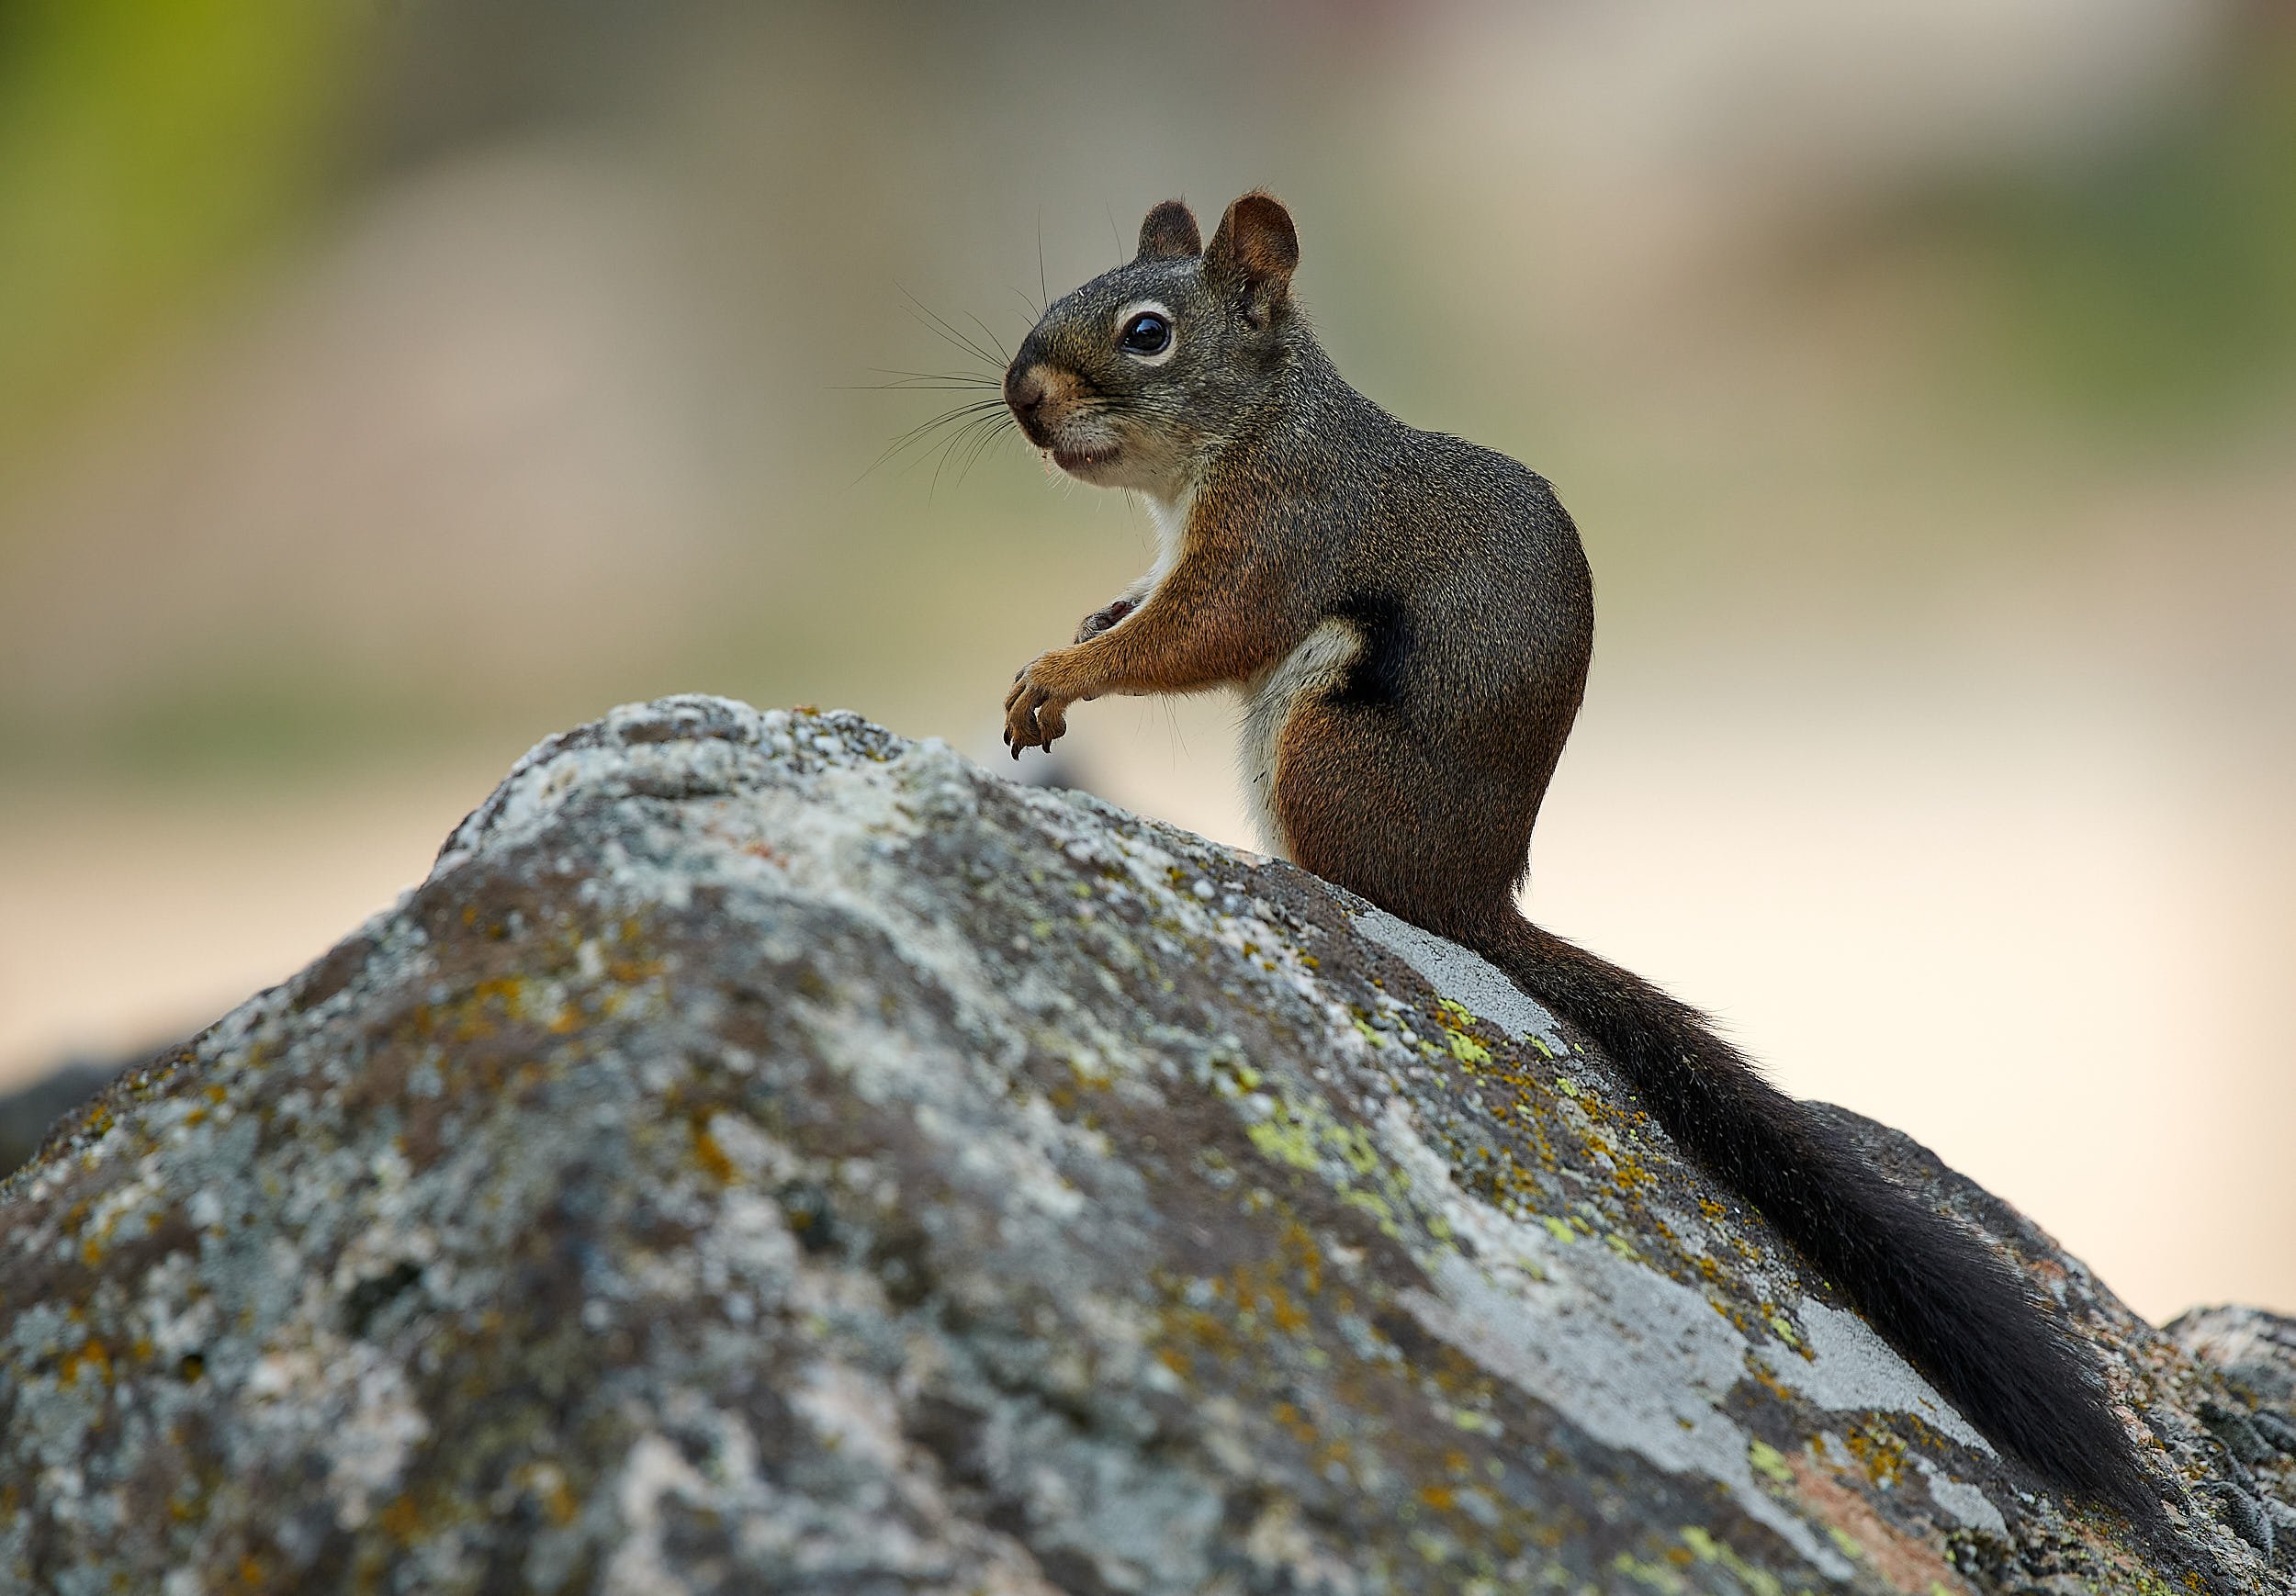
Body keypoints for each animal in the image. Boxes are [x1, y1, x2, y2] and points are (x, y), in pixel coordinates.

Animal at [996, 191, 2159, 1522]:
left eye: (1146, 332)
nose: (1020, 395)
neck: (1251, 433)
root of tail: (1477, 897)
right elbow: (1143, 605)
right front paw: (1086, 623)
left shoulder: (1278, 535)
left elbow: (1194, 634)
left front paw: (1064, 667)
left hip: (1321, 741)